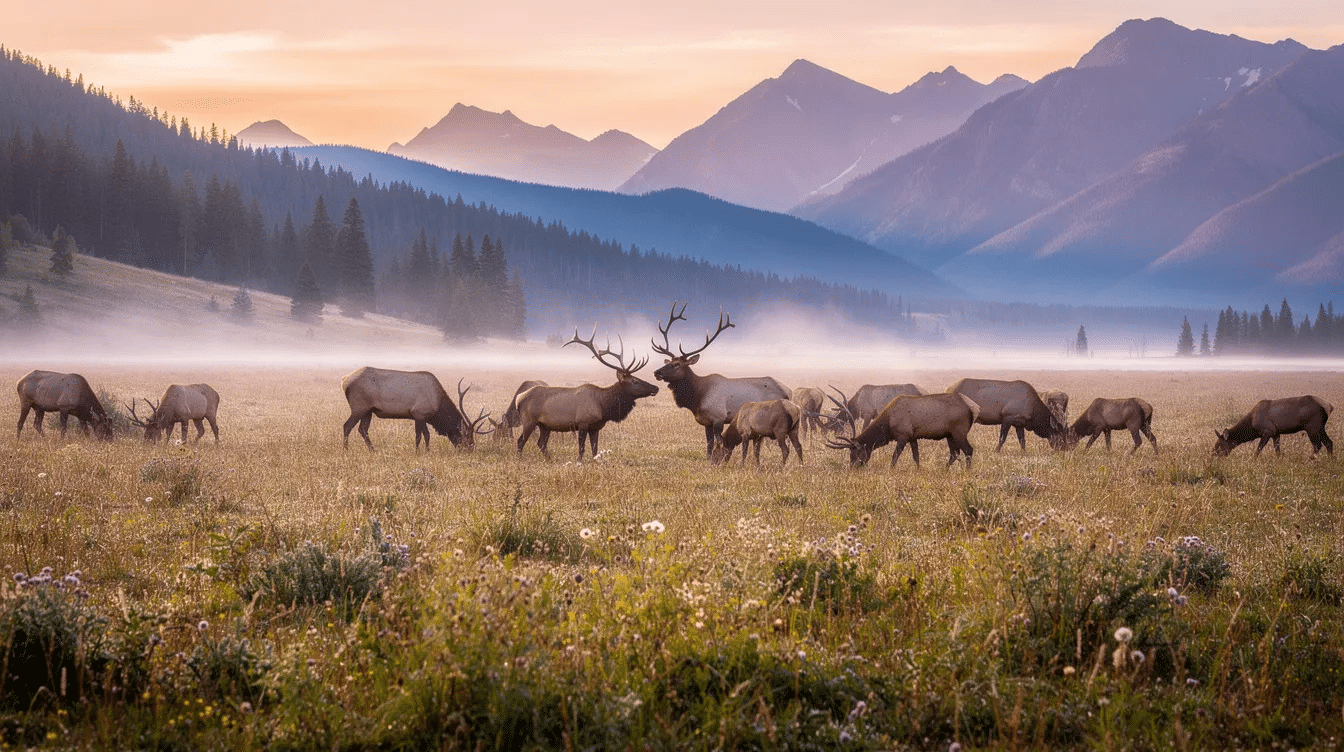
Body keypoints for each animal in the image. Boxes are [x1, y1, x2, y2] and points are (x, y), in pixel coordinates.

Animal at [341, 367, 490, 451]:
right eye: (467, 437)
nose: (471, 450)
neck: (438, 406)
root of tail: (344, 380)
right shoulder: (418, 413)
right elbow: (419, 436)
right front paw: (417, 452)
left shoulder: (422, 416)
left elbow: (427, 435)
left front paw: (427, 451)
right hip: (359, 407)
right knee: (347, 426)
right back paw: (346, 450)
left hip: (368, 411)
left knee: (363, 429)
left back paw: (373, 450)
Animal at [514, 327, 660, 461]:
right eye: (635, 381)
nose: (656, 387)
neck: (603, 406)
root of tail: (518, 399)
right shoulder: (583, 422)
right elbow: (582, 448)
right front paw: (579, 462)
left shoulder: (595, 427)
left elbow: (595, 449)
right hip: (529, 421)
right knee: (521, 441)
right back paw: (520, 460)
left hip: (545, 425)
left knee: (541, 443)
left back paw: (549, 460)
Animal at [650, 302, 790, 459]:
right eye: (668, 362)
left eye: (677, 365)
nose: (657, 372)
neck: (698, 397)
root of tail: (788, 392)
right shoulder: (707, 422)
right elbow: (709, 444)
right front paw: (708, 459)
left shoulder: (719, 417)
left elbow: (718, 442)